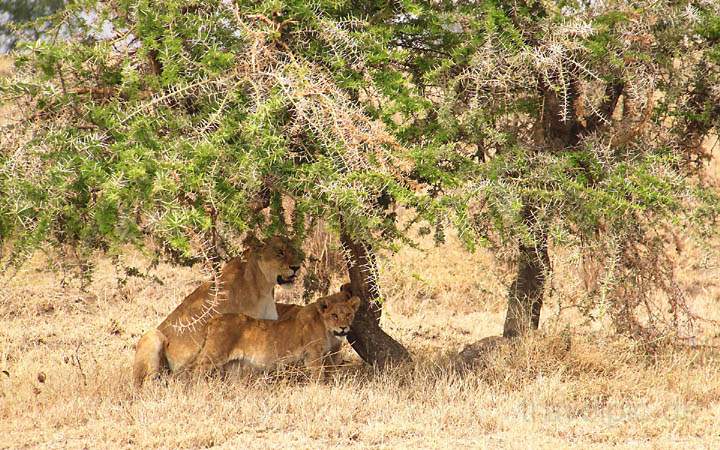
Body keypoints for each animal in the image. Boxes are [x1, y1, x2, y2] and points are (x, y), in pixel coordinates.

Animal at [190, 288, 360, 380]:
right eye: (334, 316)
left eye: (348, 315)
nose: (344, 328)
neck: (328, 331)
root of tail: (214, 319)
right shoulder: (313, 355)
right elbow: (318, 375)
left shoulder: (327, 355)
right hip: (213, 355)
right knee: (196, 368)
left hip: (234, 365)